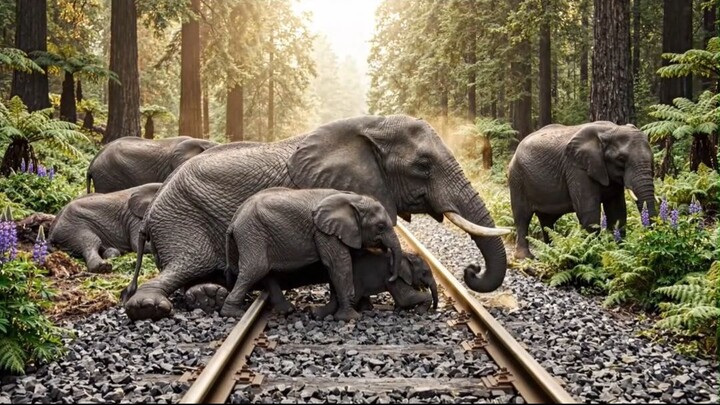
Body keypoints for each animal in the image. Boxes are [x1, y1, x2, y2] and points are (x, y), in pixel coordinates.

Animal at [508, 121, 657, 259]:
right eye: (621, 159)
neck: (610, 130)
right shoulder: (577, 168)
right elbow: (589, 210)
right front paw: (596, 253)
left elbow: (617, 211)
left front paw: (619, 251)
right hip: (516, 178)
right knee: (522, 217)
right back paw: (525, 257)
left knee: (547, 220)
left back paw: (550, 251)